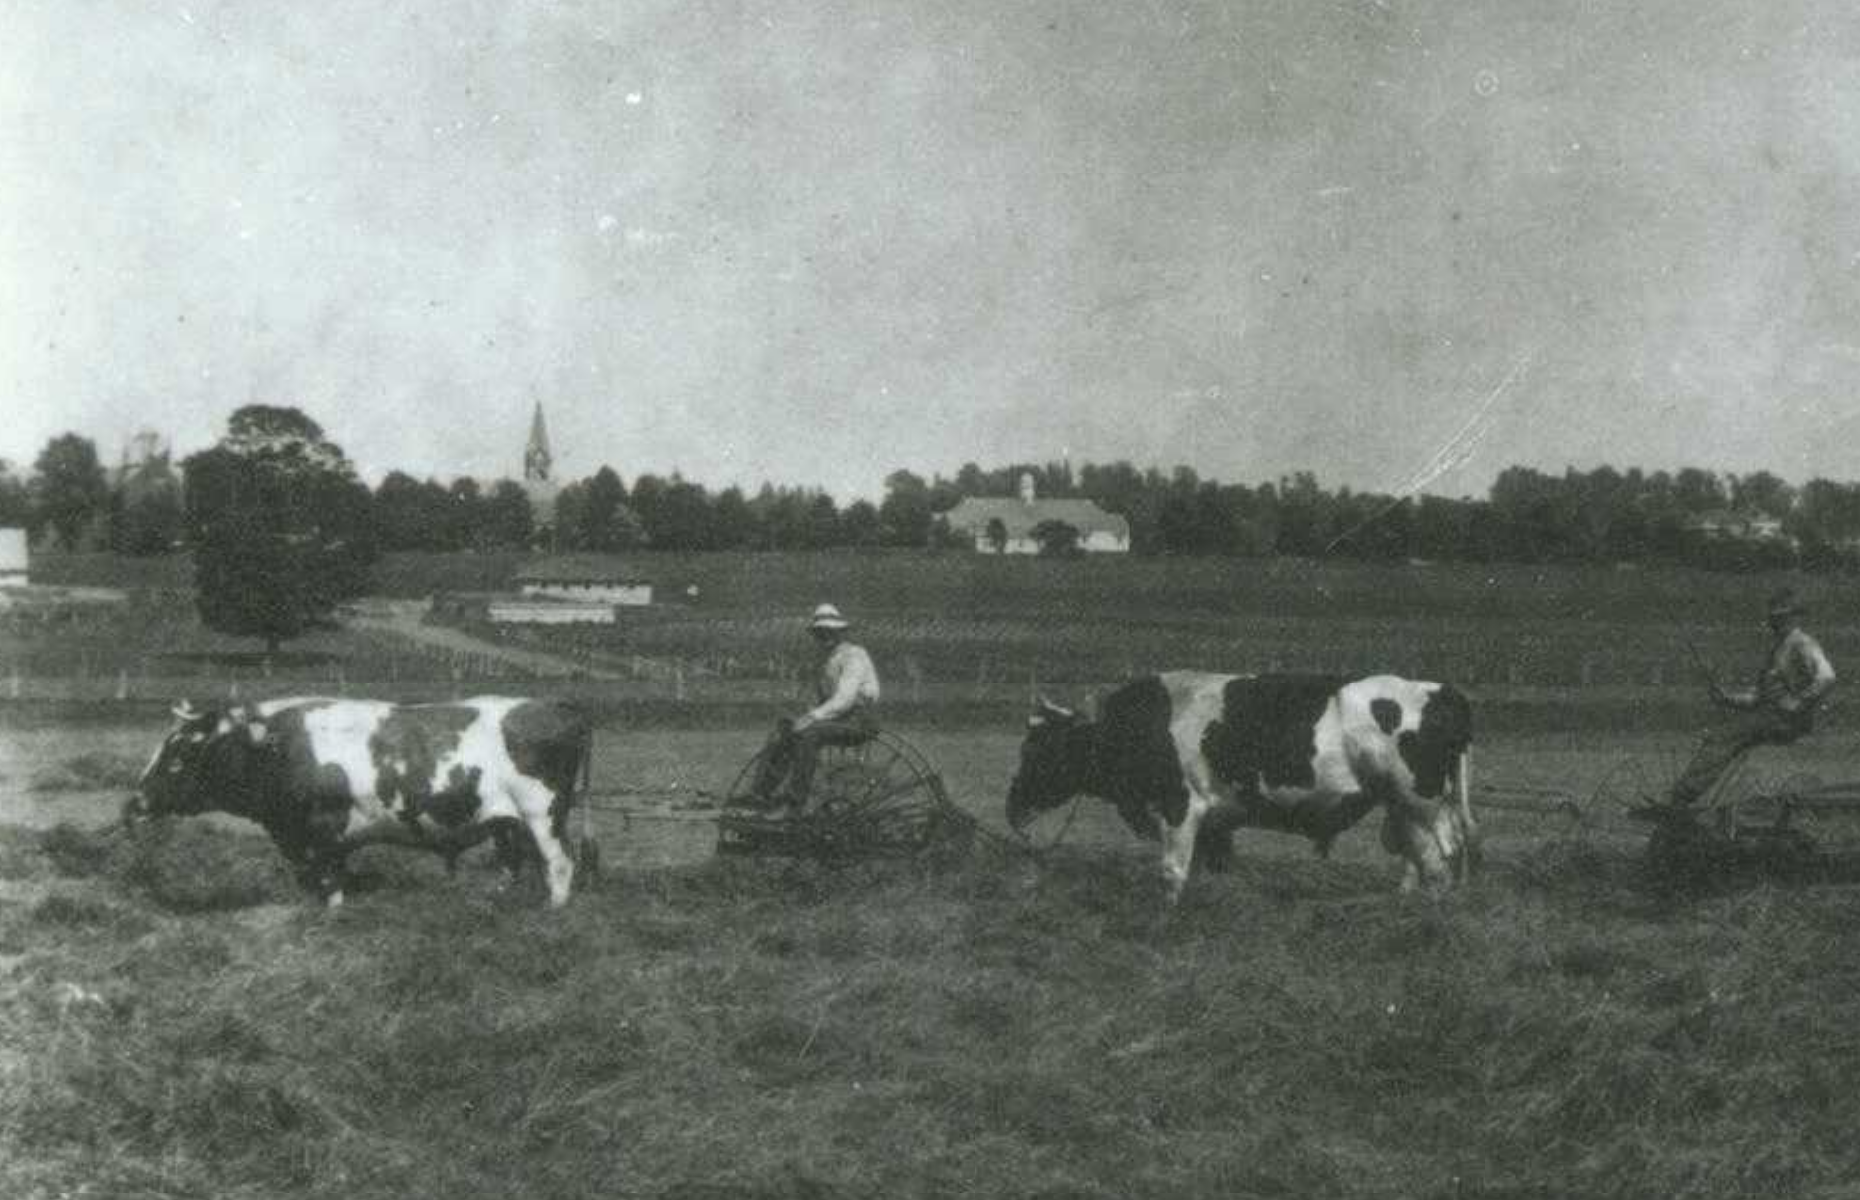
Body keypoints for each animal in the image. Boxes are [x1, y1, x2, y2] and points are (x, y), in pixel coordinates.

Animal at [127, 692, 591, 907]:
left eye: (180, 755)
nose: (133, 804)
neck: (282, 747)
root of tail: (559, 707)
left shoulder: (322, 831)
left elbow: (330, 882)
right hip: (507, 823)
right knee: (518, 862)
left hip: (543, 813)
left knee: (560, 863)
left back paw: (554, 909)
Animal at [1011, 673, 1473, 900]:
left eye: (1037, 748)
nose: (1011, 807)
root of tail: (1438, 689)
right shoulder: (1214, 823)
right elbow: (1203, 870)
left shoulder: (1180, 806)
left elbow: (1172, 872)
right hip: (1406, 807)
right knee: (1423, 859)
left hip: (1421, 803)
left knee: (1440, 863)